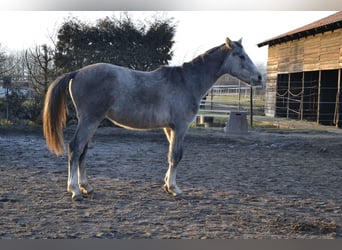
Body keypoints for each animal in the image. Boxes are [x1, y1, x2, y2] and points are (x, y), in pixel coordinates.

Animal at [43, 37, 262, 201]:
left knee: (83, 152)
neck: (187, 81)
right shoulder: (180, 127)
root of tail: (77, 72)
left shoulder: (170, 129)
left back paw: (86, 187)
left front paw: (167, 185)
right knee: (75, 148)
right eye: (241, 56)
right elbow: (176, 156)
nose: (259, 77)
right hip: (89, 120)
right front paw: (175, 189)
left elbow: (170, 155)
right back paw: (75, 190)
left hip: (91, 122)